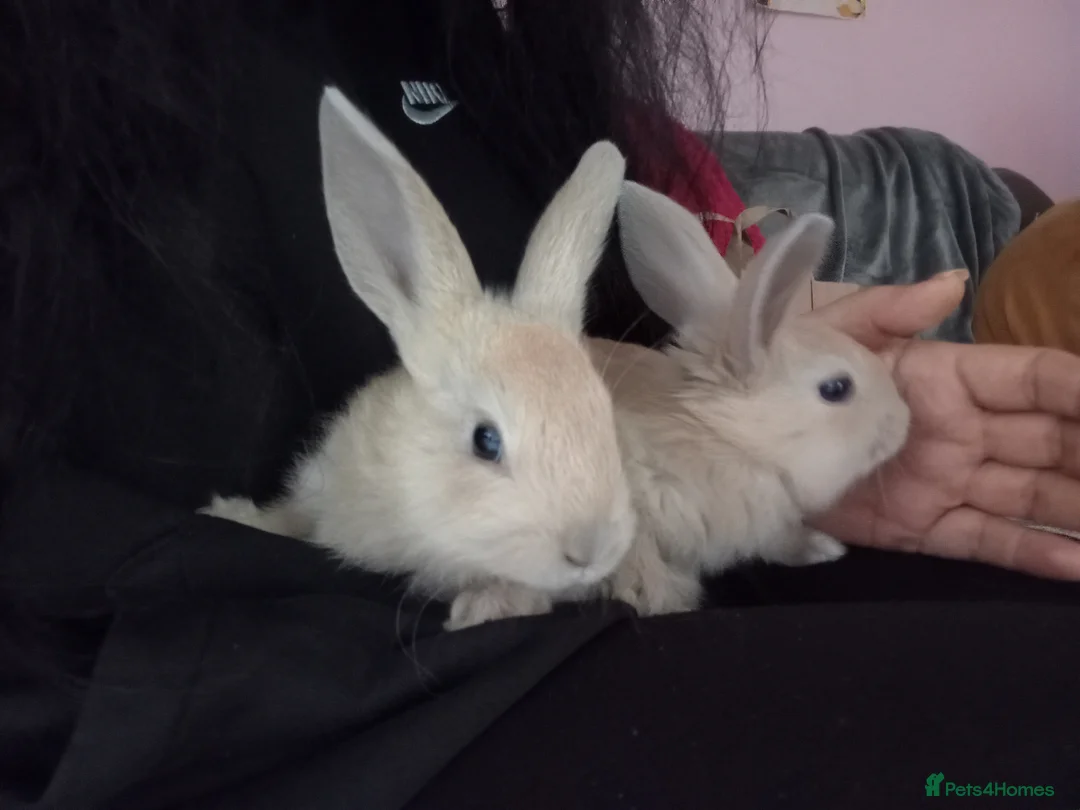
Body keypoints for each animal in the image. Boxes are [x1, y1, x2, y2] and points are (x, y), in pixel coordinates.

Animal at [579, 181, 911, 615]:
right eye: (836, 389)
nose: (905, 420)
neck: (723, 437)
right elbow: (643, 573)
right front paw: (670, 601)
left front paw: (822, 548)